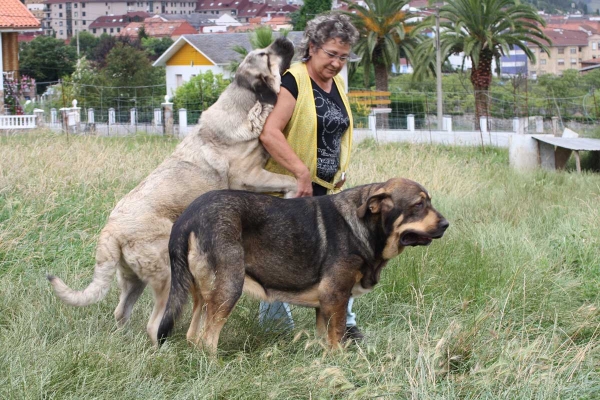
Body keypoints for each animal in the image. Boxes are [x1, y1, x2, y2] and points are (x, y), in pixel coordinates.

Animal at [47, 37, 298, 344]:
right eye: (265, 54)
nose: (284, 39)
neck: (244, 105)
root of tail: (111, 229)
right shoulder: (250, 177)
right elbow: (291, 180)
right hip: (166, 273)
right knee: (154, 324)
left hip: (132, 280)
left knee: (121, 312)